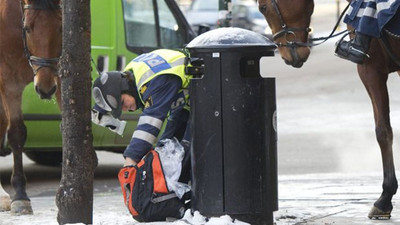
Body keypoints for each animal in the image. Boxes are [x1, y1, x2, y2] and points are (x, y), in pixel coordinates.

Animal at [0, 0, 61, 214]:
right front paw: (20, 195)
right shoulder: (8, 81)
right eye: (27, 28)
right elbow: (17, 132)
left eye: (60, 28)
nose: (45, 88)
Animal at [258, 0, 400, 221]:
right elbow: (384, 130)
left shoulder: (370, 68)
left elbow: (382, 132)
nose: (287, 55)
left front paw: (384, 198)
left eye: (263, 8)